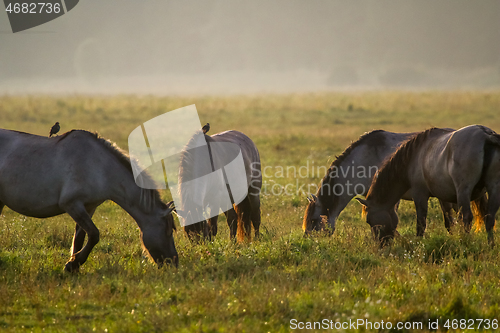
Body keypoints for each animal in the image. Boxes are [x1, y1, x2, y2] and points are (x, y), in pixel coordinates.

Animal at [0, 128, 178, 272]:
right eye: (168, 231)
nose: (174, 262)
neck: (99, 167)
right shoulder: (72, 205)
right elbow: (94, 234)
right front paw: (73, 263)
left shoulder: (89, 207)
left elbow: (79, 239)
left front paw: (73, 267)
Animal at [356, 124, 500, 244]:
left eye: (369, 220)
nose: (380, 244)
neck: (413, 158)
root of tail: (486, 135)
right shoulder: (443, 196)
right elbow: (448, 220)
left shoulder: (420, 195)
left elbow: (421, 224)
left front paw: (418, 244)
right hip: (493, 189)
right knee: (489, 218)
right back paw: (490, 245)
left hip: (463, 191)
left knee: (467, 218)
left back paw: (465, 242)